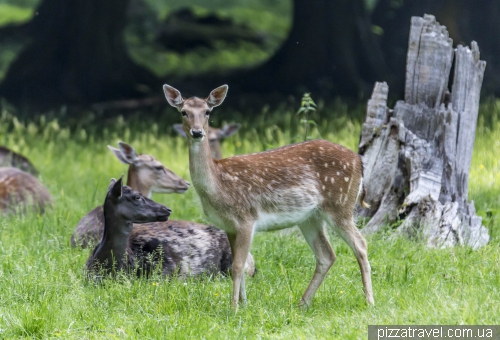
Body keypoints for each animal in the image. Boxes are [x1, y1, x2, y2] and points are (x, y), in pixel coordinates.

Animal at [162, 83, 374, 306]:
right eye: (184, 112)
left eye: (207, 111)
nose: (197, 132)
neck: (218, 185)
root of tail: (359, 161)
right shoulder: (229, 226)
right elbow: (240, 265)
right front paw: (244, 304)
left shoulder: (246, 218)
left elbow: (238, 266)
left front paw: (233, 307)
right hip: (310, 217)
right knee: (327, 255)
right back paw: (302, 303)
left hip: (340, 205)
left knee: (361, 245)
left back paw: (369, 300)